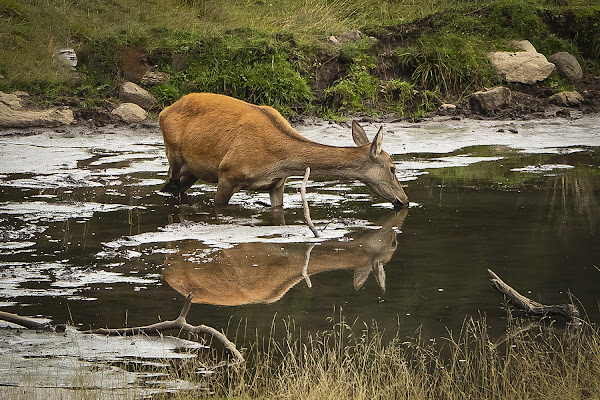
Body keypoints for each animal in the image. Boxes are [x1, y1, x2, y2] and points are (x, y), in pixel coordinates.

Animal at [158, 92, 408, 208]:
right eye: (393, 168)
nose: (404, 199)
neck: (277, 160)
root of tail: (163, 111)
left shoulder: (277, 183)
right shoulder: (227, 173)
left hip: (194, 170)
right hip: (173, 153)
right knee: (171, 184)